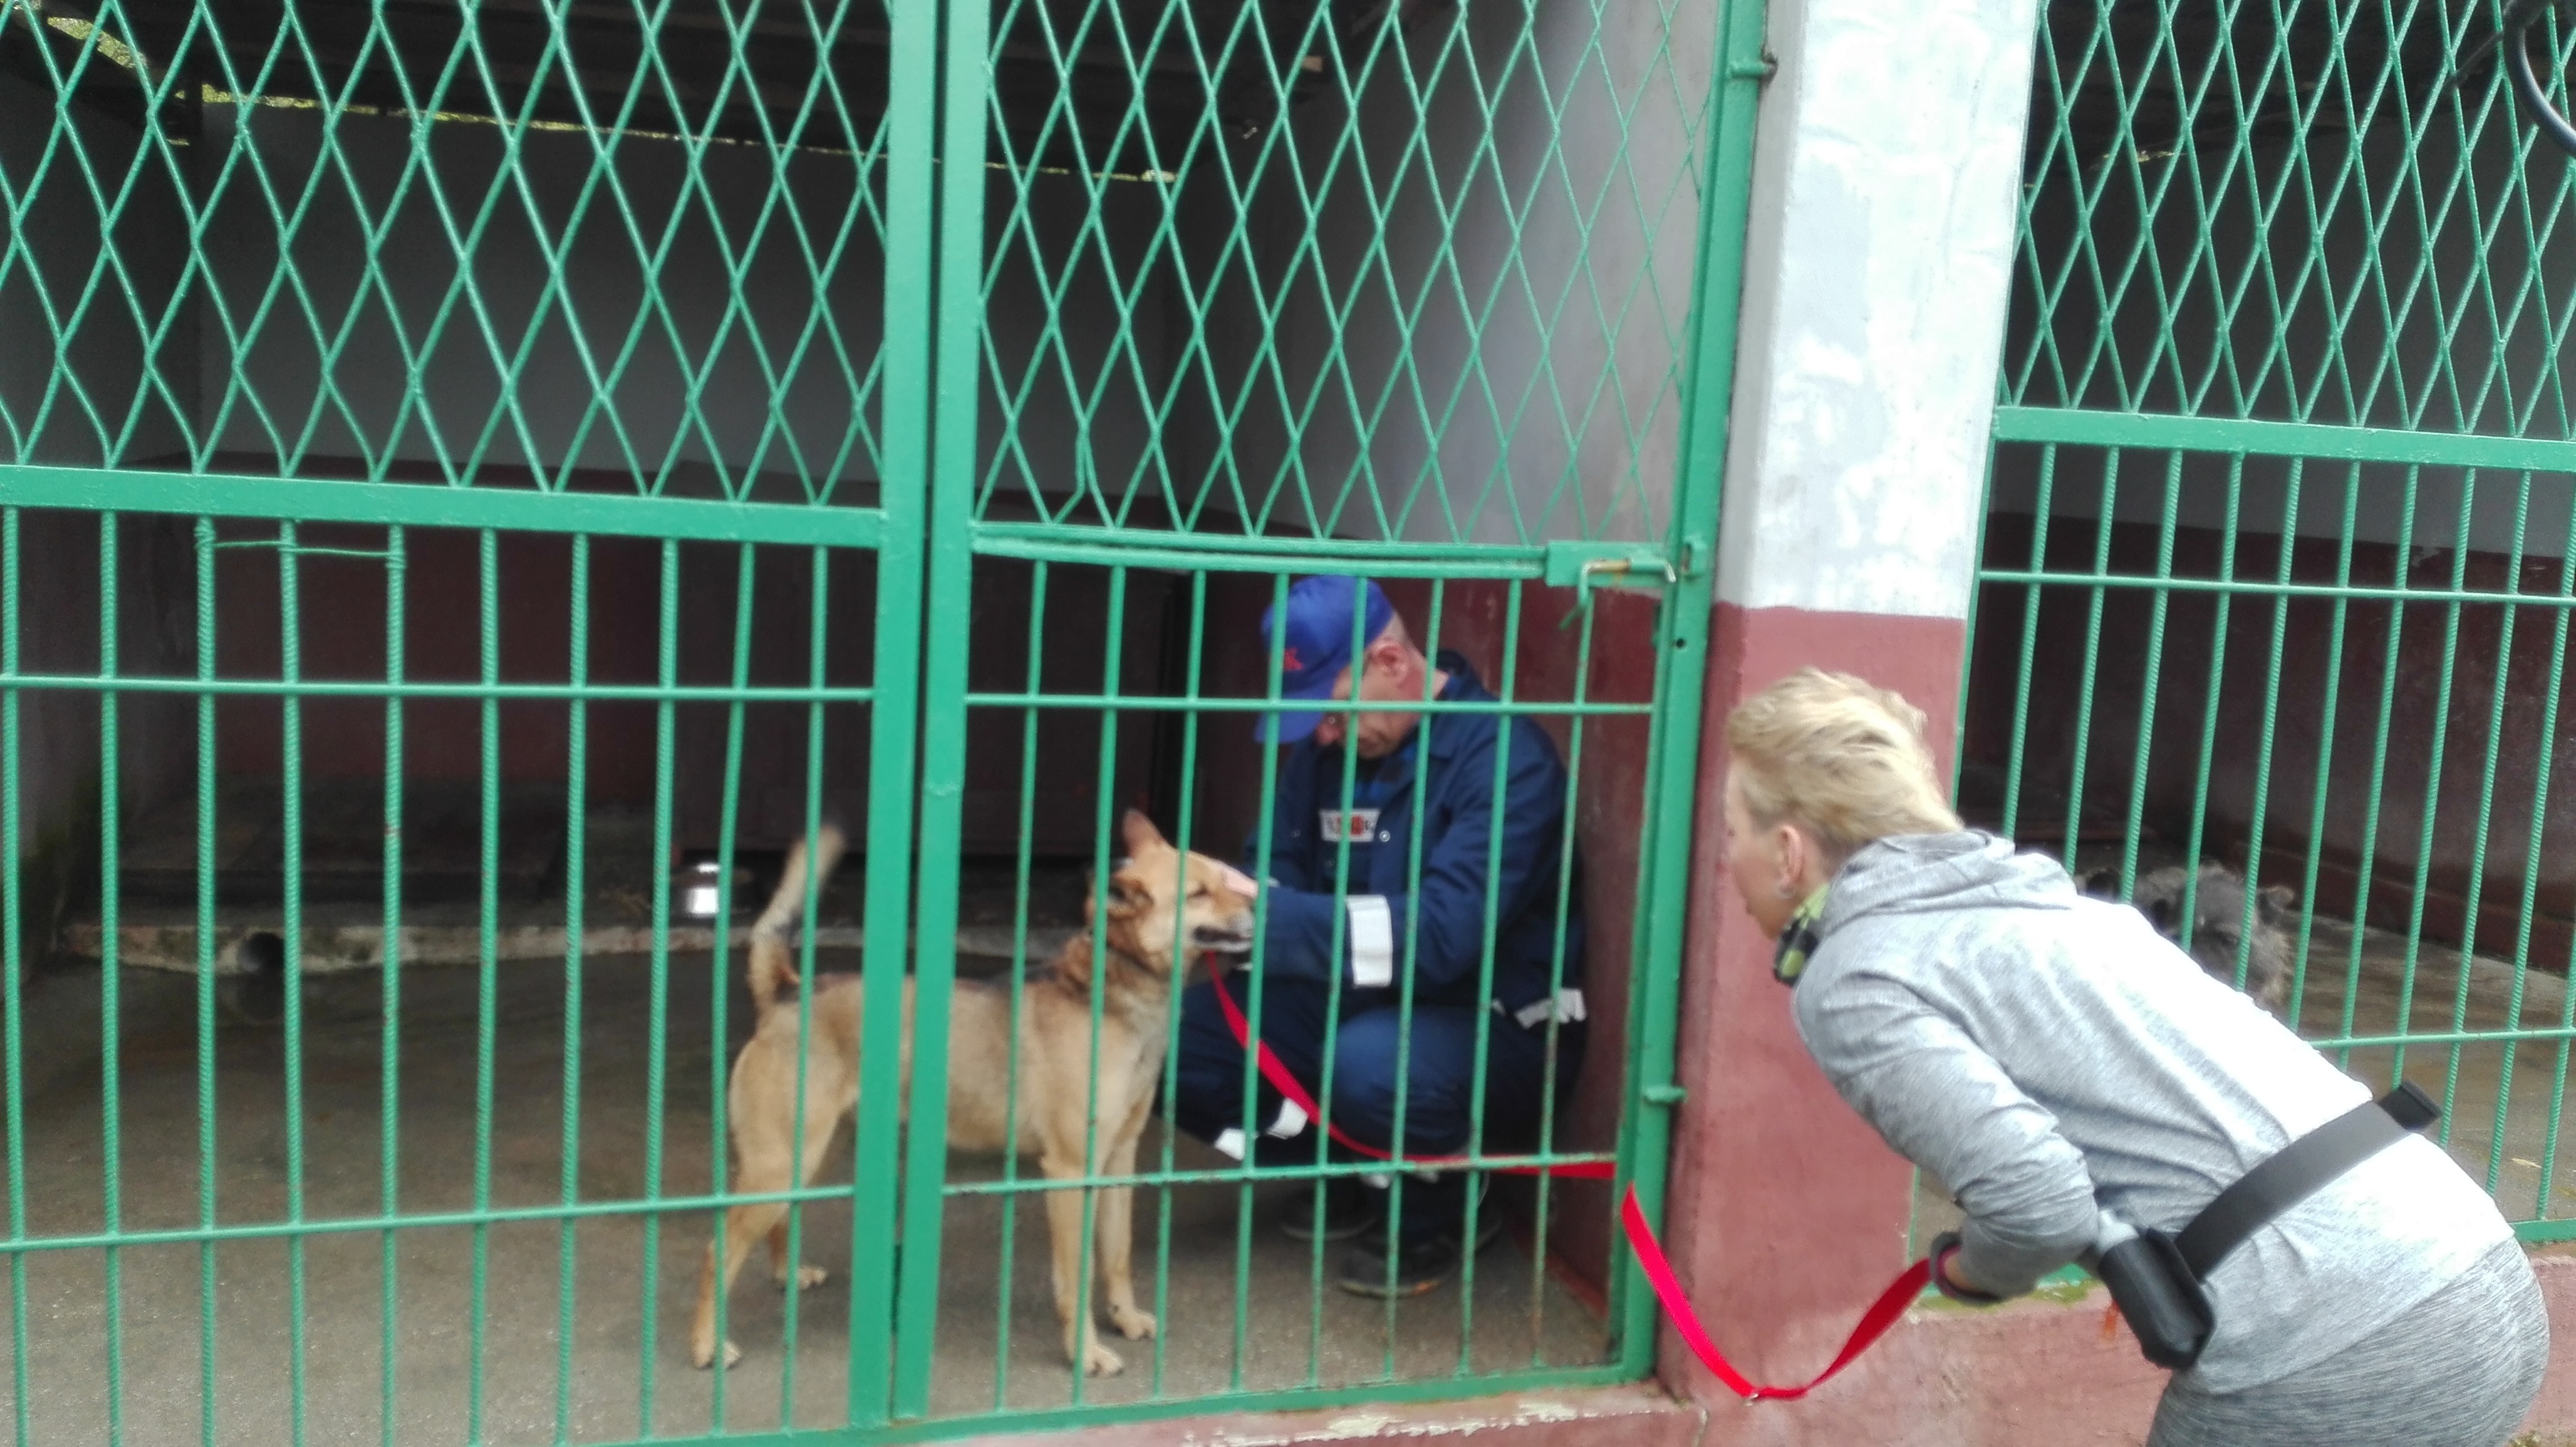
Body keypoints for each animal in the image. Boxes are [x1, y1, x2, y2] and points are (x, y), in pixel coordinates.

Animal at [689, 808, 1255, 1377]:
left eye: (1224, 880)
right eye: (1199, 893)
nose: (1260, 905)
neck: (1109, 991)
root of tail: (786, 991)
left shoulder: (1118, 1161)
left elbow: (1117, 1256)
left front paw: (1126, 1317)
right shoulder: (1070, 1171)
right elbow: (1074, 1279)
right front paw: (1085, 1353)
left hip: (814, 1153)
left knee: (781, 1217)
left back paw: (787, 1275)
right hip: (782, 1159)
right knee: (717, 1250)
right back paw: (707, 1344)